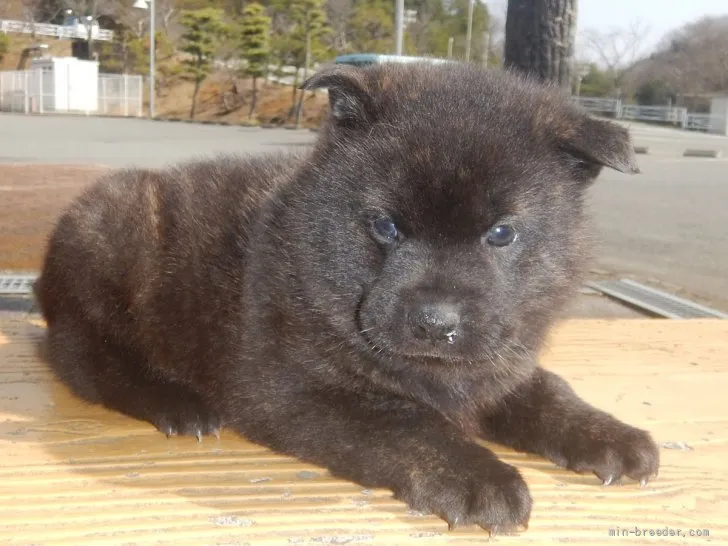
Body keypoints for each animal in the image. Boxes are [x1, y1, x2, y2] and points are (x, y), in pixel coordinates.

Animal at [34, 62, 660, 532]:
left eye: (501, 234)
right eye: (385, 227)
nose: (436, 323)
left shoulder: (498, 359)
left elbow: (546, 390)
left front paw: (611, 435)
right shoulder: (292, 390)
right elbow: (405, 423)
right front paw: (480, 478)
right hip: (111, 238)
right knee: (86, 361)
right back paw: (176, 403)